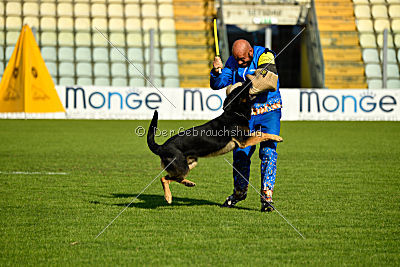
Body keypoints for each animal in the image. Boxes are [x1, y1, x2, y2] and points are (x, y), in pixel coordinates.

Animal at [146, 80, 282, 204]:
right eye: (241, 88)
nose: (248, 80)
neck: (235, 112)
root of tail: (162, 147)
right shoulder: (244, 141)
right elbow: (262, 134)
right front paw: (277, 137)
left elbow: (261, 133)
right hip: (183, 167)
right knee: (164, 179)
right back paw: (168, 197)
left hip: (191, 163)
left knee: (172, 178)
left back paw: (188, 183)